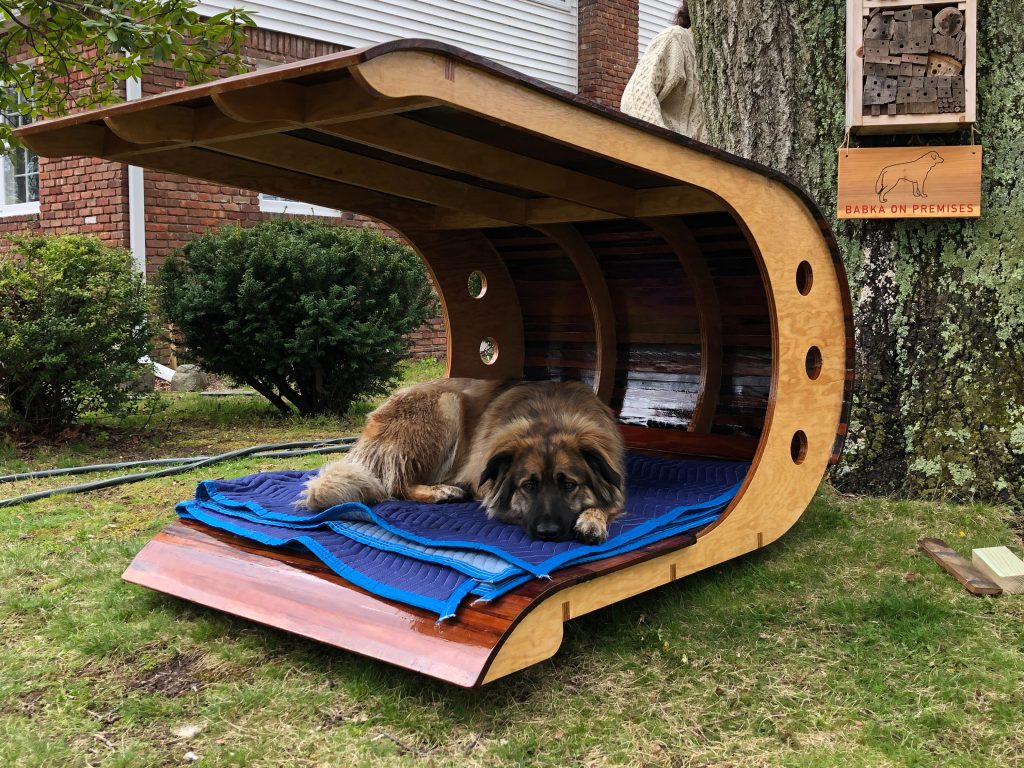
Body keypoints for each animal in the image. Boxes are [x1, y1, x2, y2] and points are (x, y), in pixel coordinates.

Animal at [299, 378, 622, 540]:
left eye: (569, 485)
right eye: (528, 486)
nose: (548, 533)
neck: (550, 418)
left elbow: (608, 501)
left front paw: (592, 520)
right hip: (447, 405)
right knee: (395, 486)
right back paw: (442, 492)